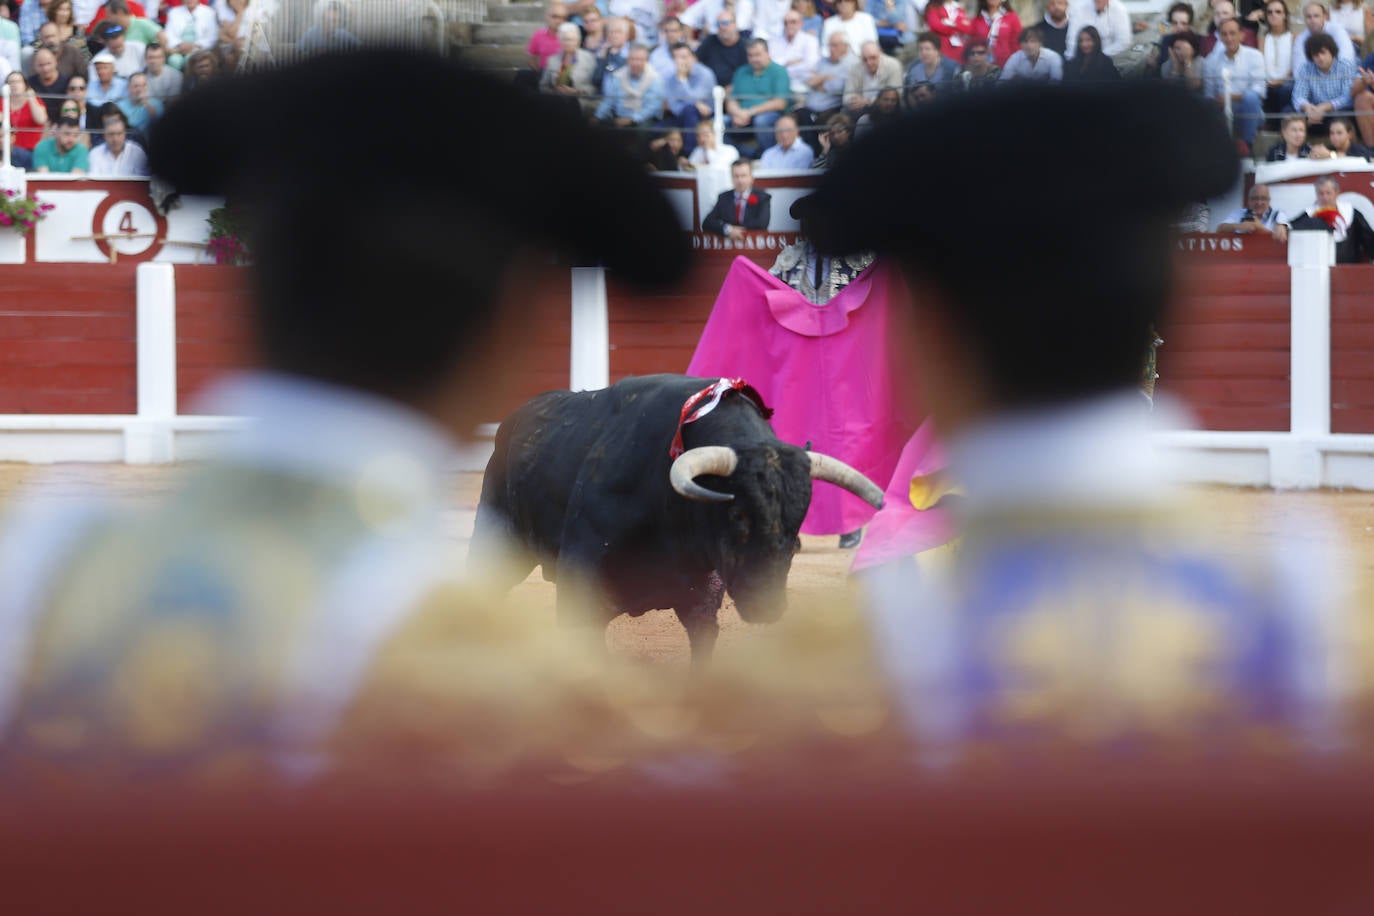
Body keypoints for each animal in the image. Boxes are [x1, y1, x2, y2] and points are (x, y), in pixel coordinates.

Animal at [467, 373, 884, 667]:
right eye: (737, 514)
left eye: (798, 526)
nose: (767, 606)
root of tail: (512, 424)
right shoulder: (579, 593)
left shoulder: (702, 604)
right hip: (495, 542)